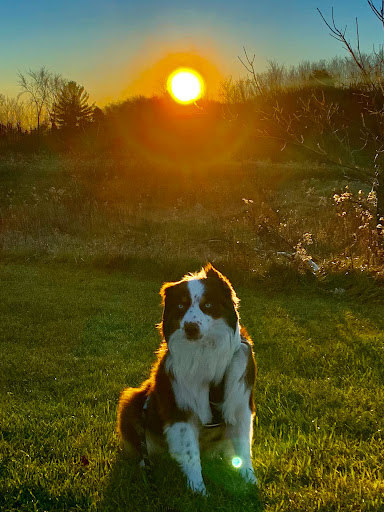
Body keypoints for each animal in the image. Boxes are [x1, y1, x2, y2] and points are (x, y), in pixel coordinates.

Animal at [115, 262, 256, 494]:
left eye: (207, 305)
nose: (190, 328)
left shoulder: (239, 404)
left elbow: (243, 448)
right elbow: (190, 453)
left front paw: (250, 480)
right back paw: (146, 463)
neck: (204, 351)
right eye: (180, 306)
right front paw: (198, 489)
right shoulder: (179, 408)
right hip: (132, 400)